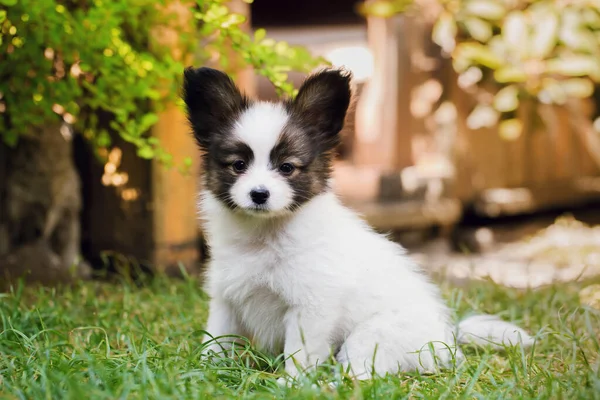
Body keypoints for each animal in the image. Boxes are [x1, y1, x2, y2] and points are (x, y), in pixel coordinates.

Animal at [183, 67, 536, 380]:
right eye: (238, 165)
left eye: (286, 168)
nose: (259, 194)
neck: (264, 236)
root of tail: (444, 339)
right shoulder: (226, 299)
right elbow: (216, 339)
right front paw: (204, 371)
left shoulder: (311, 307)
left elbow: (300, 353)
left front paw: (292, 384)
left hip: (369, 338)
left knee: (361, 375)